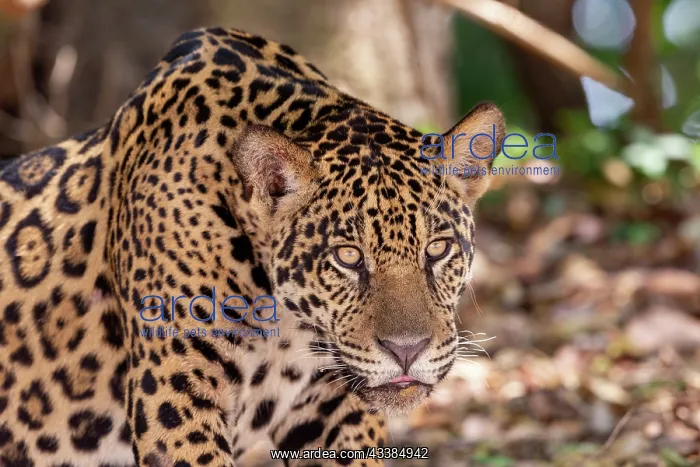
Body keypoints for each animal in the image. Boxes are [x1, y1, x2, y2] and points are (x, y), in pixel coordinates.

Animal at [0, 27, 505, 467]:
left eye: (437, 248)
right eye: (347, 256)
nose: (407, 351)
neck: (285, 322)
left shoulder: (331, 407)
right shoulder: (175, 394)